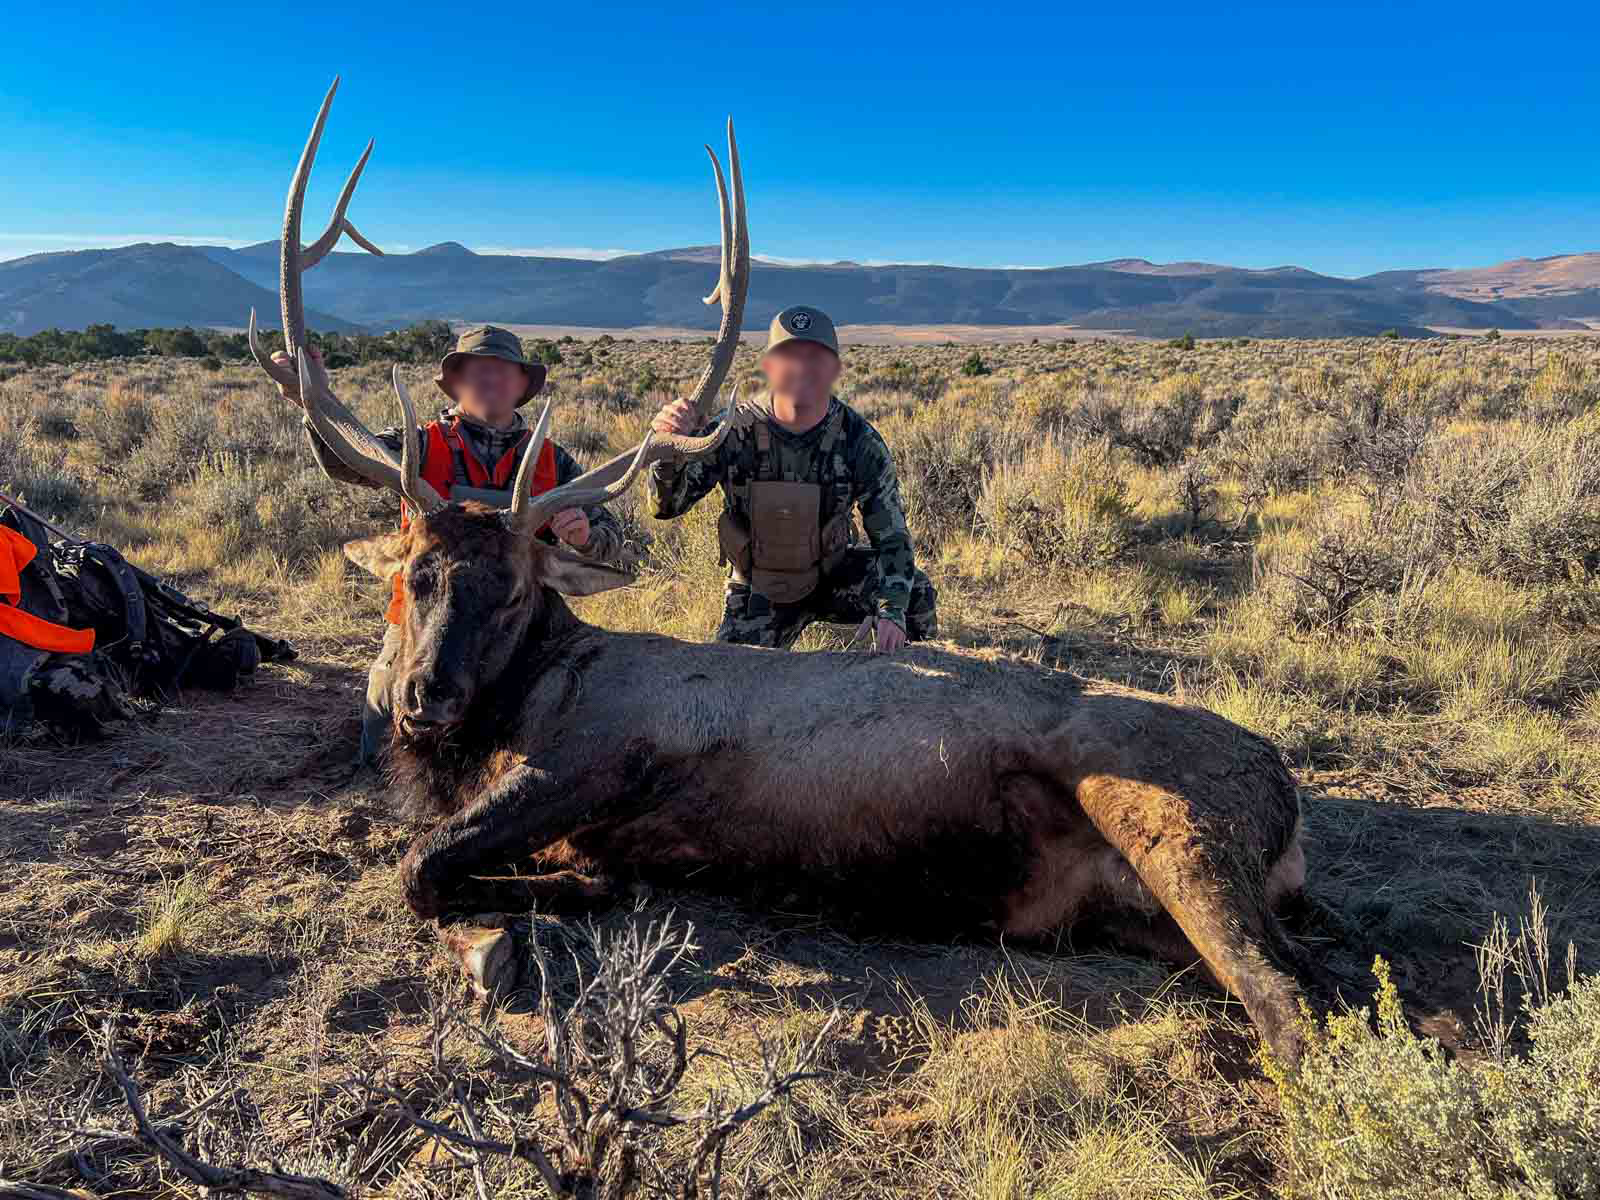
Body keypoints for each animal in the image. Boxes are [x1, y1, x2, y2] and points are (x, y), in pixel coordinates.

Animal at [253, 82, 1328, 1064]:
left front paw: (544, 907)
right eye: (413, 576)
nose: (424, 698)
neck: (516, 706)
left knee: (1297, 1006)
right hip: (1140, 903)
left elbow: (422, 865)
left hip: (1172, 821)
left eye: (515, 586)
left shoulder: (600, 754)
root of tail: (1286, 795)